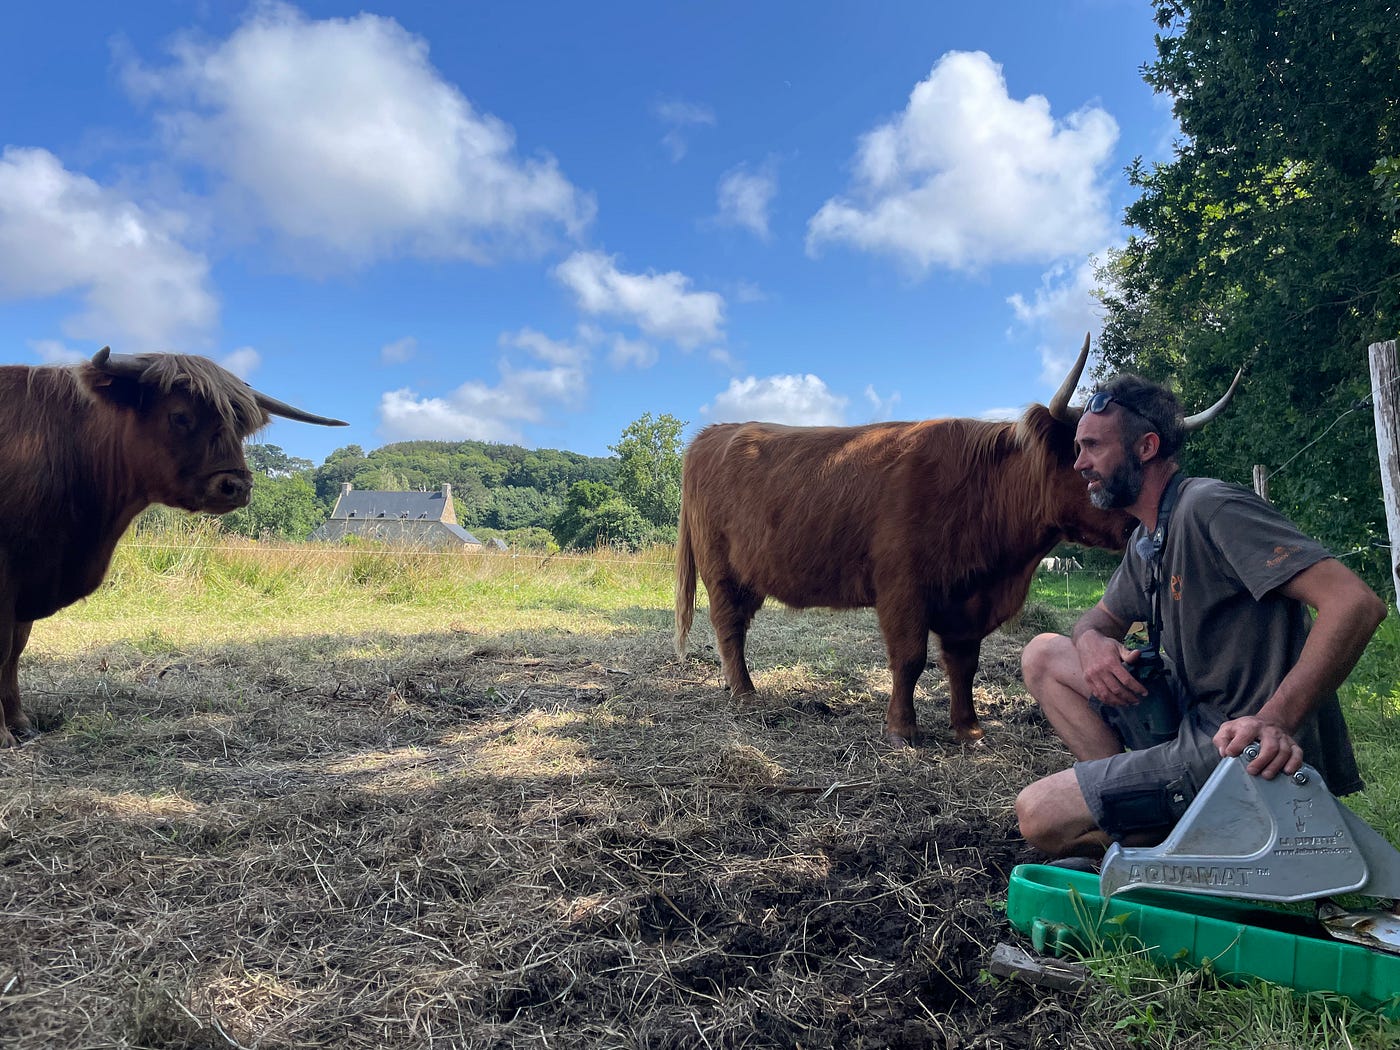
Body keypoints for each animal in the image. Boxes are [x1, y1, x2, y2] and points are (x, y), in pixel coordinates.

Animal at [0, 347, 347, 746]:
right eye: (180, 415)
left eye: (240, 427)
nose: (237, 486)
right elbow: (3, 648)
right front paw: (3, 735)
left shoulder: (31, 576)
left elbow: (15, 650)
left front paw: (20, 722)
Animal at [674, 336, 1239, 745]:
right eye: (1083, 451)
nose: (1134, 524)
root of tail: (712, 433)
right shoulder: (903, 589)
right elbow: (909, 658)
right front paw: (902, 730)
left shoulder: (970, 599)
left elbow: (963, 663)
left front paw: (968, 728)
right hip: (721, 570)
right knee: (728, 628)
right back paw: (745, 695)